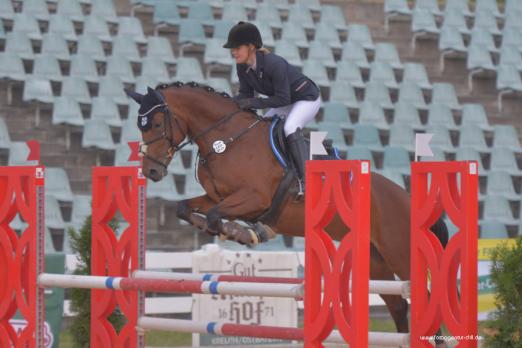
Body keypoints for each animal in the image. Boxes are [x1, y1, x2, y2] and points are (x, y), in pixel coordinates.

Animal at [124, 81, 444, 342]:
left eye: (155, 124)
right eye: (140, 126)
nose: (151, 171)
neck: (226, 139)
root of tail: (405, 196)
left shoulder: (254, 198)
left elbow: (217, 216)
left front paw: (241, 232)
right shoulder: (217, 196)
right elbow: (185, 208)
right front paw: (235, 230)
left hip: (400, 252)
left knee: (425, 298)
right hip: (376, 262)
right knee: (399, 306)